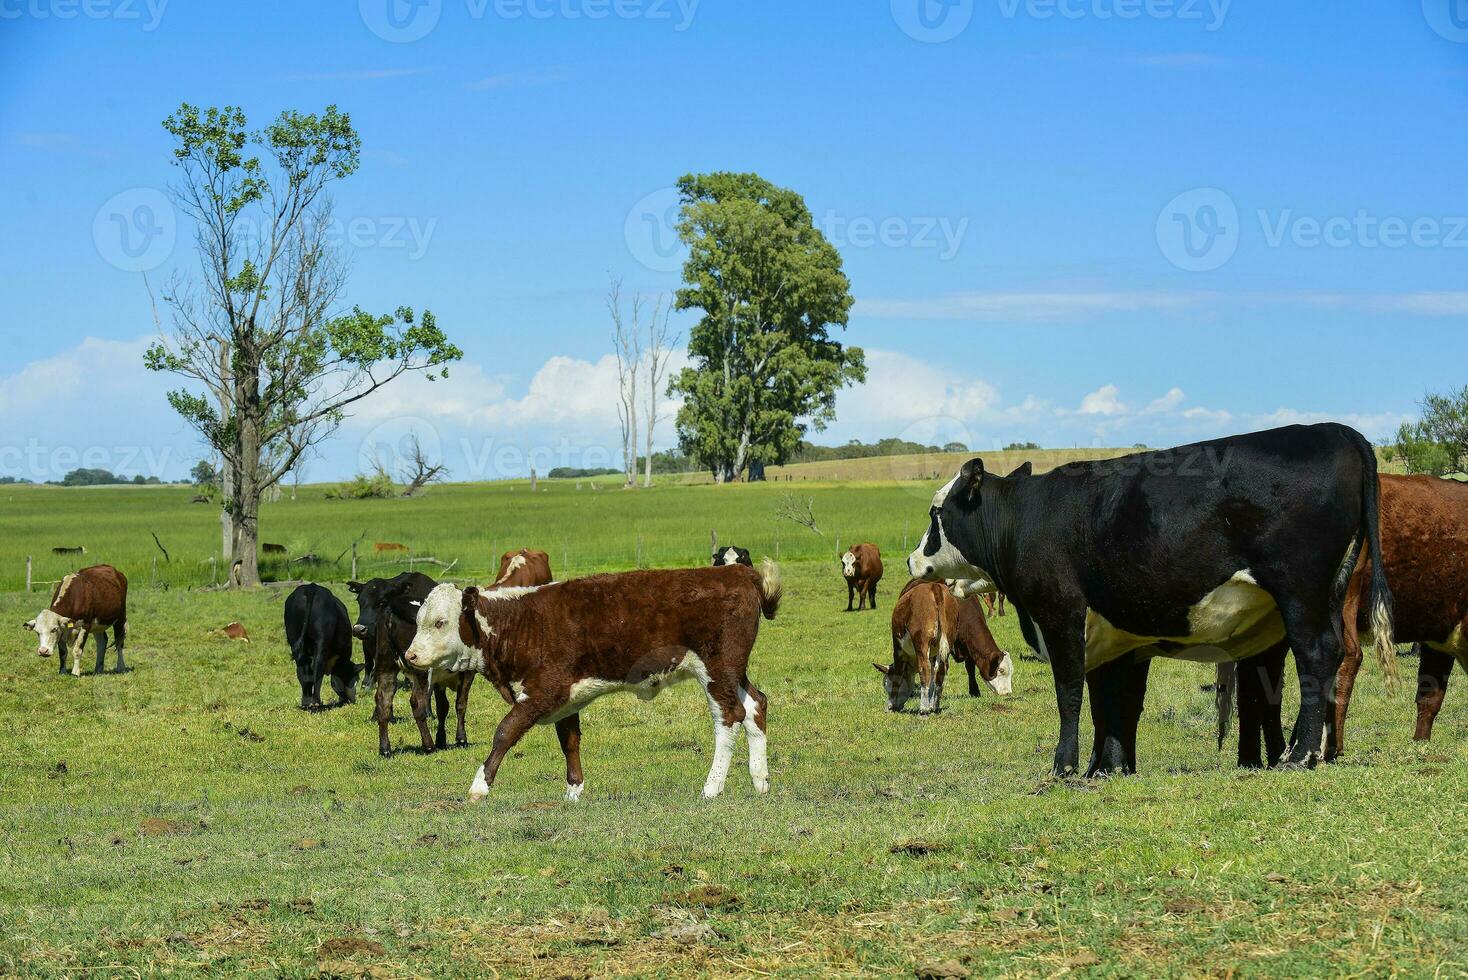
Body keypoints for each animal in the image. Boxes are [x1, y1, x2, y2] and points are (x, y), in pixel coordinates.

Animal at [281, 580, 359, 712]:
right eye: (355, 679)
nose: (353, 700)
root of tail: (311, 588)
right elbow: (336, 680)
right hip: (321, 637)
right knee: (317, 666)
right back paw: (316, 703)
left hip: (294, 636)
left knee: (303, 669)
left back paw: (306, 702)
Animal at [346, 575, 472, 757]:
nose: (359, 629)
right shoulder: (467, 673)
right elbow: (460, 705)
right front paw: (461, 739)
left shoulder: (440, 677)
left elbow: (443, 707)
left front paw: (442, 740)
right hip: (420, 671)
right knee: (416, 702)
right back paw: (428, 745)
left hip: (386, 667)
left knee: (383, 701)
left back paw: (385, 748)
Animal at [402, 563, 780, 798]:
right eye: (417, 620)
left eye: (440, 622)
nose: (410, 656)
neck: (522, 624)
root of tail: (738, 572)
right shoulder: (566, 698)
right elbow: (569, 740)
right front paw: (573, 791)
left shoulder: (544, 690)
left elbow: (505, 732)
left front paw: (479, 786)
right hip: (733, 671)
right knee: (755, 705)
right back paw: (760, 781)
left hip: (716, 668)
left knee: (729, 716)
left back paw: (712, 788)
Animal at [910, 425, 1391, 774]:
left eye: (937, 513)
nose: (913, 559)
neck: (1027, 518)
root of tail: (1337, 431)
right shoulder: (1115, 637)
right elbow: (1112, 703)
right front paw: (1107, 768)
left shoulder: (1061, 614)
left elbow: (1070, 692)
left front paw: (1064, 767)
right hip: (1327, 594)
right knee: (1333, 658)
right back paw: (1315, 751)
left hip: (1300, 592)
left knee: (1318, 656)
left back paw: (1298, 755)